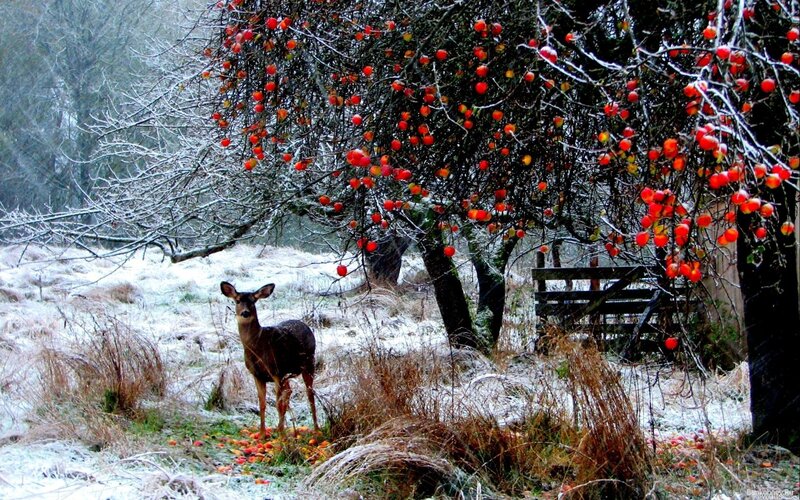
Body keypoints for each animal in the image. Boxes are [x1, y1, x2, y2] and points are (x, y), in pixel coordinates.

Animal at [220, 281, 319, 438]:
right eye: (237, 300)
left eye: (253, 301)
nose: (245, 313)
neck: (257, 347)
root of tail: (305, 325)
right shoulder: (257, 375)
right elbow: (262, 403)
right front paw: (262, 434)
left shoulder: (275, 370)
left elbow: (278, 404)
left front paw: (281, 436)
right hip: (288, 373)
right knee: (289, 391)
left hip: (309, 363)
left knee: (310, 394)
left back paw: (315, 429)